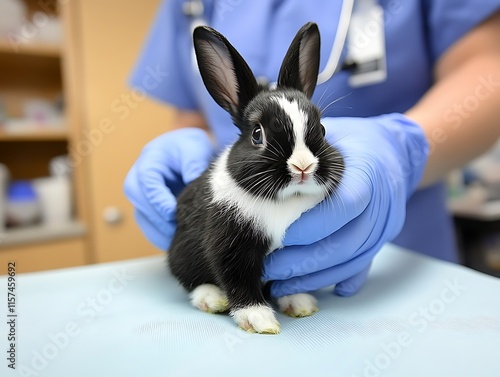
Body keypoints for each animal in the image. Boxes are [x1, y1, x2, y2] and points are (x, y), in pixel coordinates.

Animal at [168, 22, 344, 332]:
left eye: (322, 130)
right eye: (257, 135)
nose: (303, 166)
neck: (286, 202)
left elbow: (290, 280)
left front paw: (299, 303)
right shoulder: (230, 248)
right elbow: (239, 281)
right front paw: (259, 320)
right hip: (182, 253)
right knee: (191, 281)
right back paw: (212, 298)